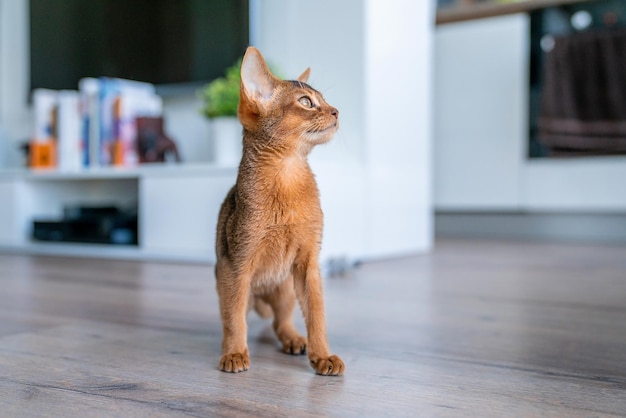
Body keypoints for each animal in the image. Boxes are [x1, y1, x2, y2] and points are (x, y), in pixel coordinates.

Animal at [213, 47, 342, 378]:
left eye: (324, 100)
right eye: (306, 102)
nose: (336, 112)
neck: (288, 175)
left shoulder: (309, 263)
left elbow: (317, 316)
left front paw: (323, 355)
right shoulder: (237, 265)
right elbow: (234, 319)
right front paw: (234, 353)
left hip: (285, 288)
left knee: (279, 321)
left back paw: (295, 340)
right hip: (229, 282)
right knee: (237, 315)